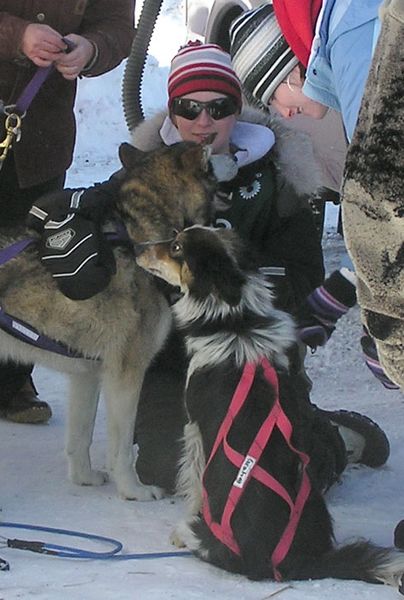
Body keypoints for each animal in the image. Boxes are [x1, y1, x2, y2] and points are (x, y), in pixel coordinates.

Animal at [137, 225, 404, 584]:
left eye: (177, 246)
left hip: (202, 535)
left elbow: (192, 480)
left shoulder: (193, 428)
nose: (138, 247)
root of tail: (292, 563)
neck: (237, 323)